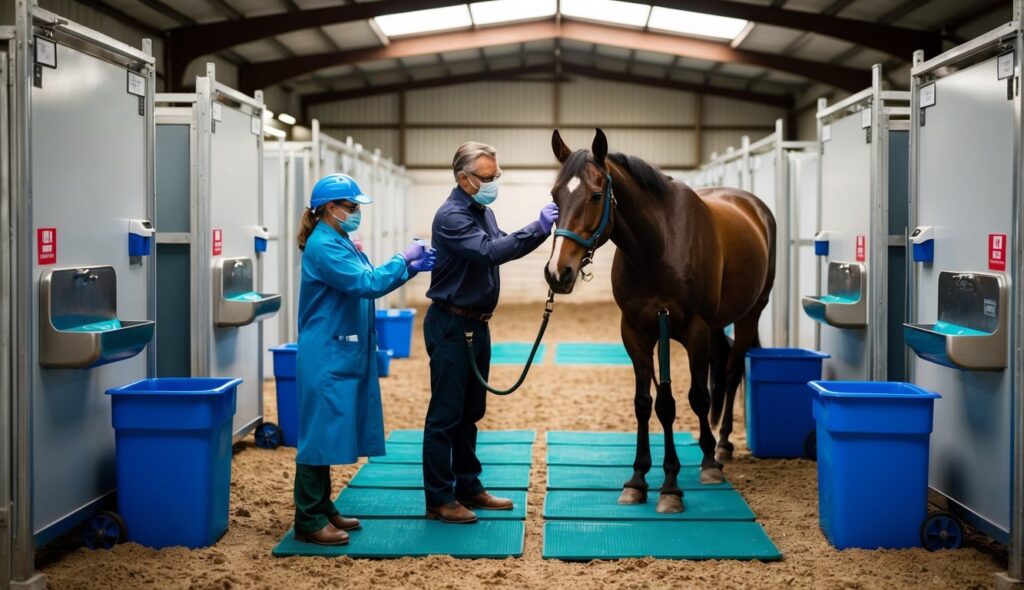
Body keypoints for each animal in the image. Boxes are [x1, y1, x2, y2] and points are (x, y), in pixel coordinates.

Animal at [548, 128, 770, 512]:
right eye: (554, 196)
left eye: (595, 196)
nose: (558, 272)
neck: (658, 244)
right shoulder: (636, 330)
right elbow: (647, 403)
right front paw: (638, 480)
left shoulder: (692, 329)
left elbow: (691, 398)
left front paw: (678, 481)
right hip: (715, 326)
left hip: (749, 314)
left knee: (730, 373)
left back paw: (722, 447)